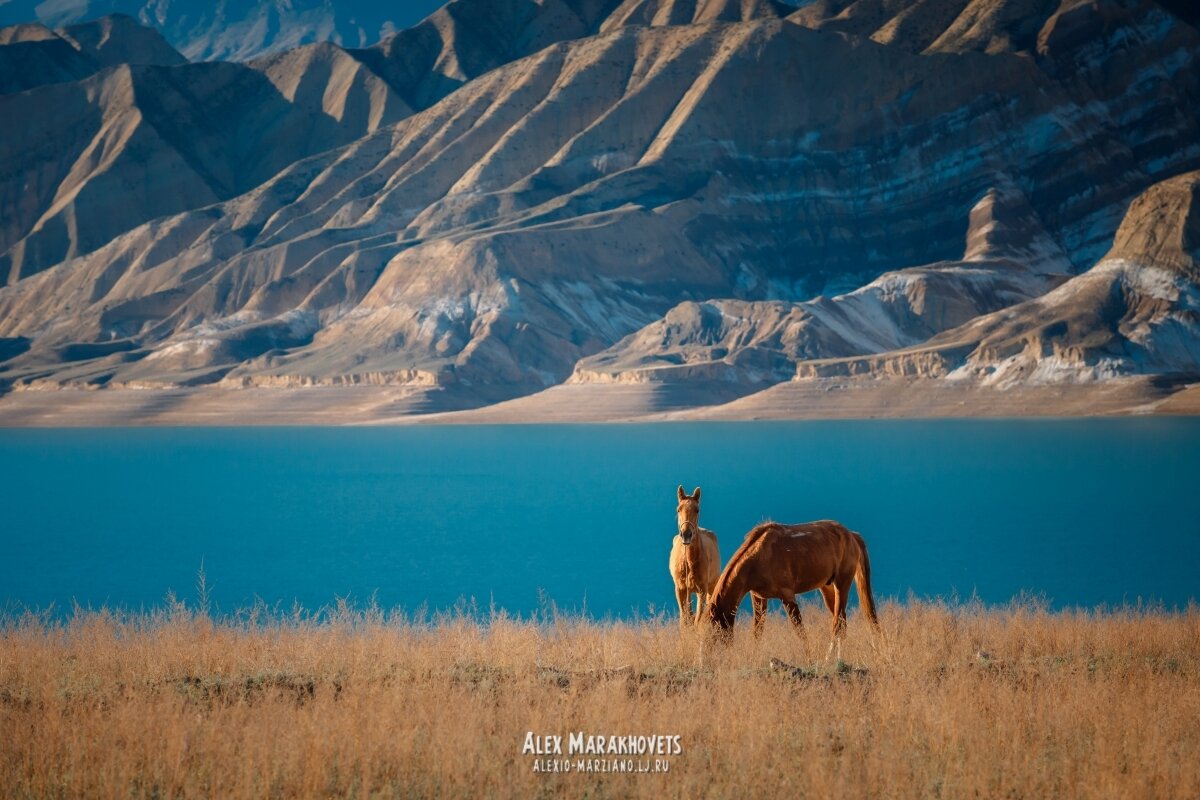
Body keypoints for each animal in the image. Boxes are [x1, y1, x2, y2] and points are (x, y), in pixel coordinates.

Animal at [672, 484, 715, 628]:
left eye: (697, 510)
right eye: (678, 509)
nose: (686, 534)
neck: (689, 562)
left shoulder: (702, 590)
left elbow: (697, 620)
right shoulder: (680, 589)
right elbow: (684, 619)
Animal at [700, 522, 883, 662]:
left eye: (714, 631)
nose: (704, 662)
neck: (759, 557)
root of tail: (852, 535)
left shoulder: (787, 596)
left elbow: (800, 632)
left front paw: (810, 660)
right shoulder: (758, 597)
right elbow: (757, 632)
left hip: (842, 583)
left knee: (837, 624)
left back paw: (828, 659)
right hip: (827, 587)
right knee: (842, 623)